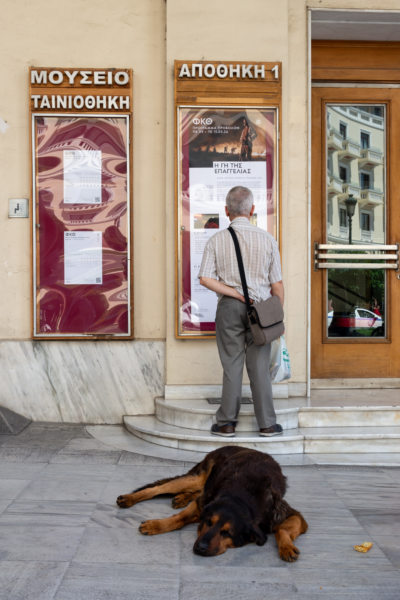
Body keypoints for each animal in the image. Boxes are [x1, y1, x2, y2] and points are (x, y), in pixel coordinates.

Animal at [117, 446, 308, 556]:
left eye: (226, 533)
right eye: (209, 523)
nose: (200, 547)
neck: (240, 498)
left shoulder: (288, 515)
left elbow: (282, 528)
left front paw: (286, 547)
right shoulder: (203, 505)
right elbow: (179, 518)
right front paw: (156, 525)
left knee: (197, 491)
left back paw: (182, 497)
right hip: (197, 478)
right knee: (157, 488)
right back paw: (129, 498)